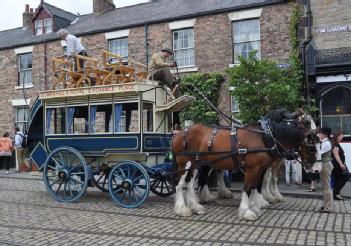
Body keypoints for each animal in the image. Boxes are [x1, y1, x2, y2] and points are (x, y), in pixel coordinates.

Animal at [173, 118, 314, 220]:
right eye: (312, 148)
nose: (311, 169)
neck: (265, 137)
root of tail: (180, 132)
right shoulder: (252, 168)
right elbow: (247, 188)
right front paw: (246, 211)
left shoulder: (260, 168)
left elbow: (254, 186)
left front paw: (254, 207)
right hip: (184, 163)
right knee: (179, 185)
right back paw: (182, 209)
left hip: (195, 164)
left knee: (190, 184)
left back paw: (195, 207)